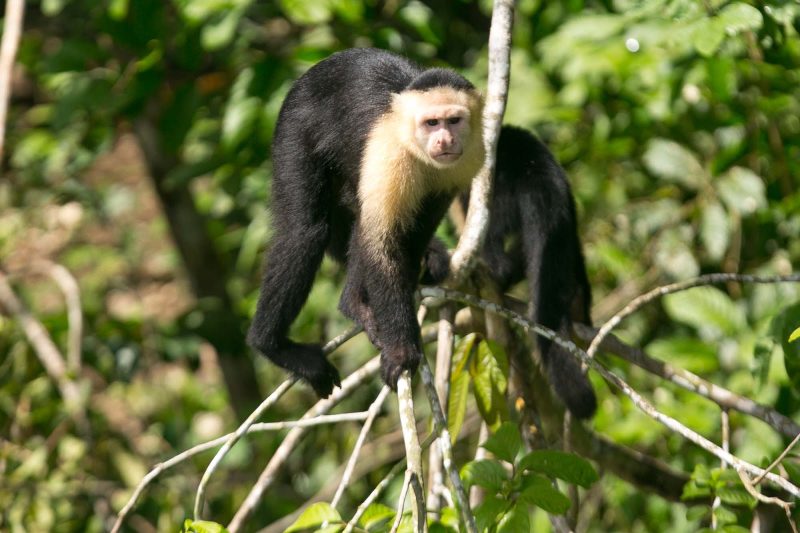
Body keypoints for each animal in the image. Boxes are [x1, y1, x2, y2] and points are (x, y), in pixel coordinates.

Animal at [247, 48, 485, 398]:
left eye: (453, 121)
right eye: (431, 123)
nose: (444, 141)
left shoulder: (466, 160)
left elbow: (413, 230)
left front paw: (409, 283)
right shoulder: (389, 152)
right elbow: (380, 242)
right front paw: (401, 349)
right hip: (294, 128)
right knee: (306, 233)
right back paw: (275, 343)